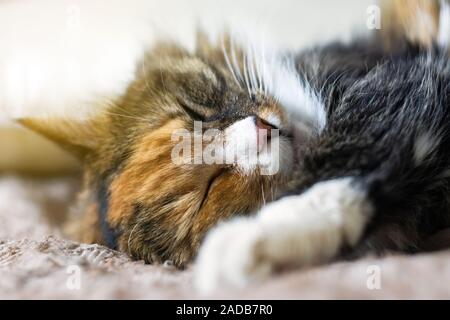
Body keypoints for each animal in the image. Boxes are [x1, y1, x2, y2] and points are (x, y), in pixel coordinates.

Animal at [19, 0, 450, 292]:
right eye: (211, 188)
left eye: (197, 110)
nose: (262, 130)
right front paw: (250, 246)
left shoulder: (398, 87)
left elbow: (339, 168)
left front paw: (250, 238)